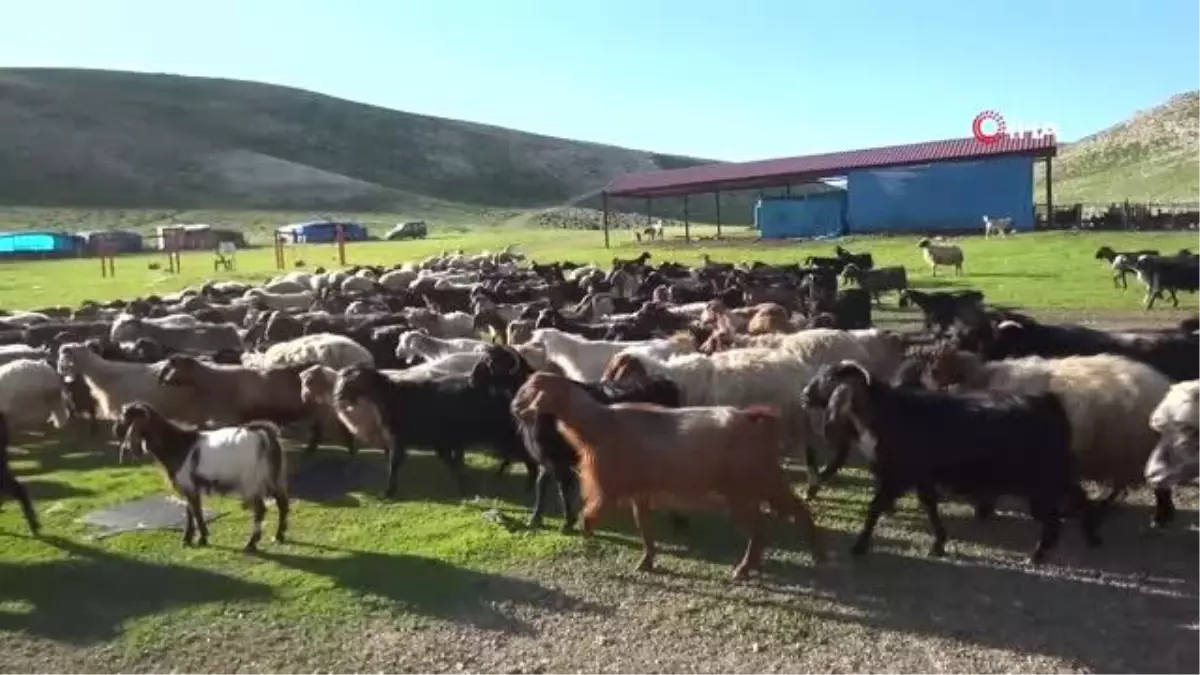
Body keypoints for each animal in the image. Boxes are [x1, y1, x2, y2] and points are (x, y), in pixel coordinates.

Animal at [114, 398, 290, 552]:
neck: (177, 445)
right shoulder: (189, 486)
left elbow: (197, 512)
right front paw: (187, 539)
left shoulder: (189, 485)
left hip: (251, 481)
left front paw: (201, 539)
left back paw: (251, 543)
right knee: (282, 503)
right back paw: (278, 536)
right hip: (272, 477)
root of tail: (264, 435)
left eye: (126, 416)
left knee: (260, 509)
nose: (115, 430)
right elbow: (190, 511)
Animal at [511, 369, 830, 576]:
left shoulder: (608, 489)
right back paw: (816, 555)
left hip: (744, 490)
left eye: (530, 390)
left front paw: (590, 548)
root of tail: (756, 420)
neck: (599, 424)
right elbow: (644, 526)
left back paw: (744, 569)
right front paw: (646, 561)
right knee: (796, 511)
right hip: (766, 481)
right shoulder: (639, 491)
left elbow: (588, 519)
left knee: (763, 528)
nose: (515, 407)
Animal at [801, 360, 1099, 559]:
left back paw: (1040, 553)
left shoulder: (898, 474)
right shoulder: (920, 474)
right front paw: (939, 543)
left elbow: (876, 507)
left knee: (1057, 516)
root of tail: (1051, 405)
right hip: (1054, 474)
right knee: (1079, 498)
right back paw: (1089, 537)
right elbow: (929, 505)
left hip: (1041, 479)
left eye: (830, 378)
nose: (804, 395)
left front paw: (860, 546)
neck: (883, 412)